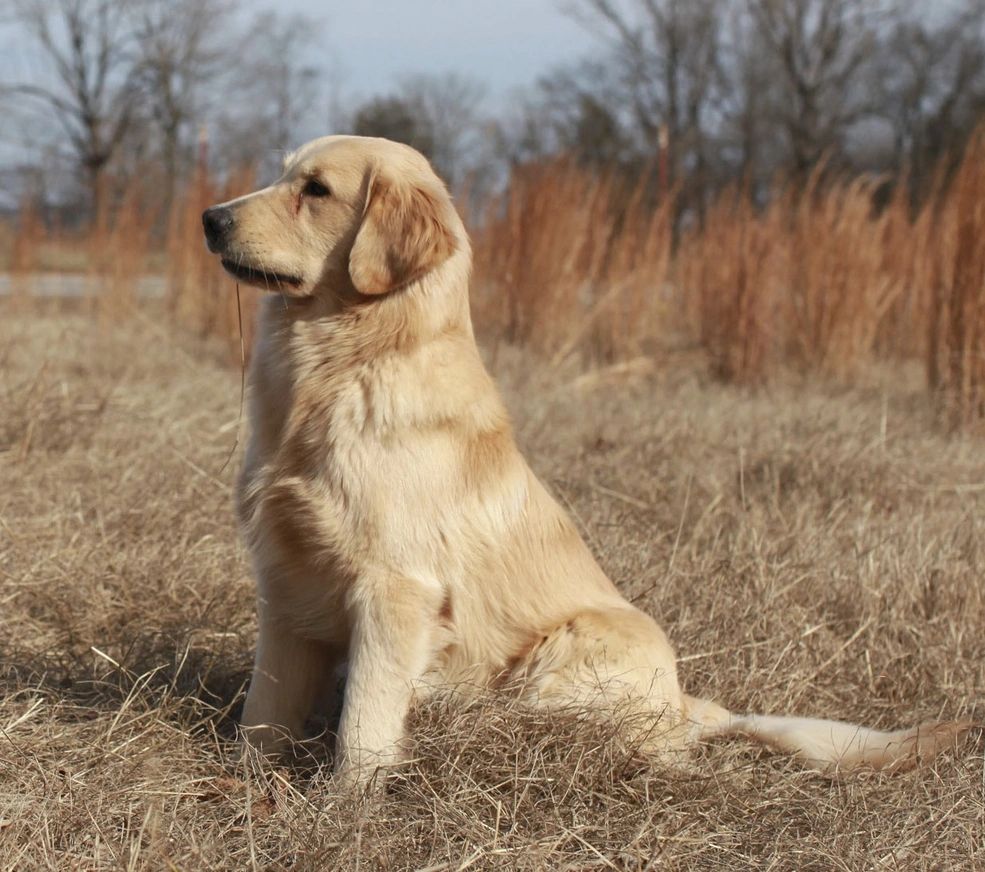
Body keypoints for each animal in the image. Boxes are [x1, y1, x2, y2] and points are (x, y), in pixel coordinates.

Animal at [202, 135, 968, 784]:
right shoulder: (286, 584)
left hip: (565, 653)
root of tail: (690, 704)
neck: (340, 367)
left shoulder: (395, 590)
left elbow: (365, 719)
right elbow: (264, 710)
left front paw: (347, 808)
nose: (210, 217)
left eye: (316, 190)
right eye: (282, 173)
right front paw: (246, 783)